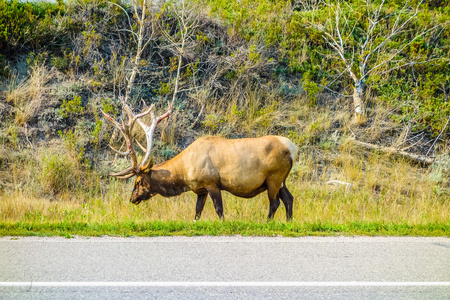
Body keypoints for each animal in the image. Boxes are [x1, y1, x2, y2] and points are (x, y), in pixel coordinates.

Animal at [103, 98, 298, 220]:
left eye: (138, 182)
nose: (132, 198)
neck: (184, 172)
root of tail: (293, 148)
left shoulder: (212, 183)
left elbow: (219, 210)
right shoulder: (200, 189)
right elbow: (197, 212)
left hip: (274, 177)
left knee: (275, 203)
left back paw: (267, 222)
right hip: (281, 180)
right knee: (289, 199)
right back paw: (289, 222)